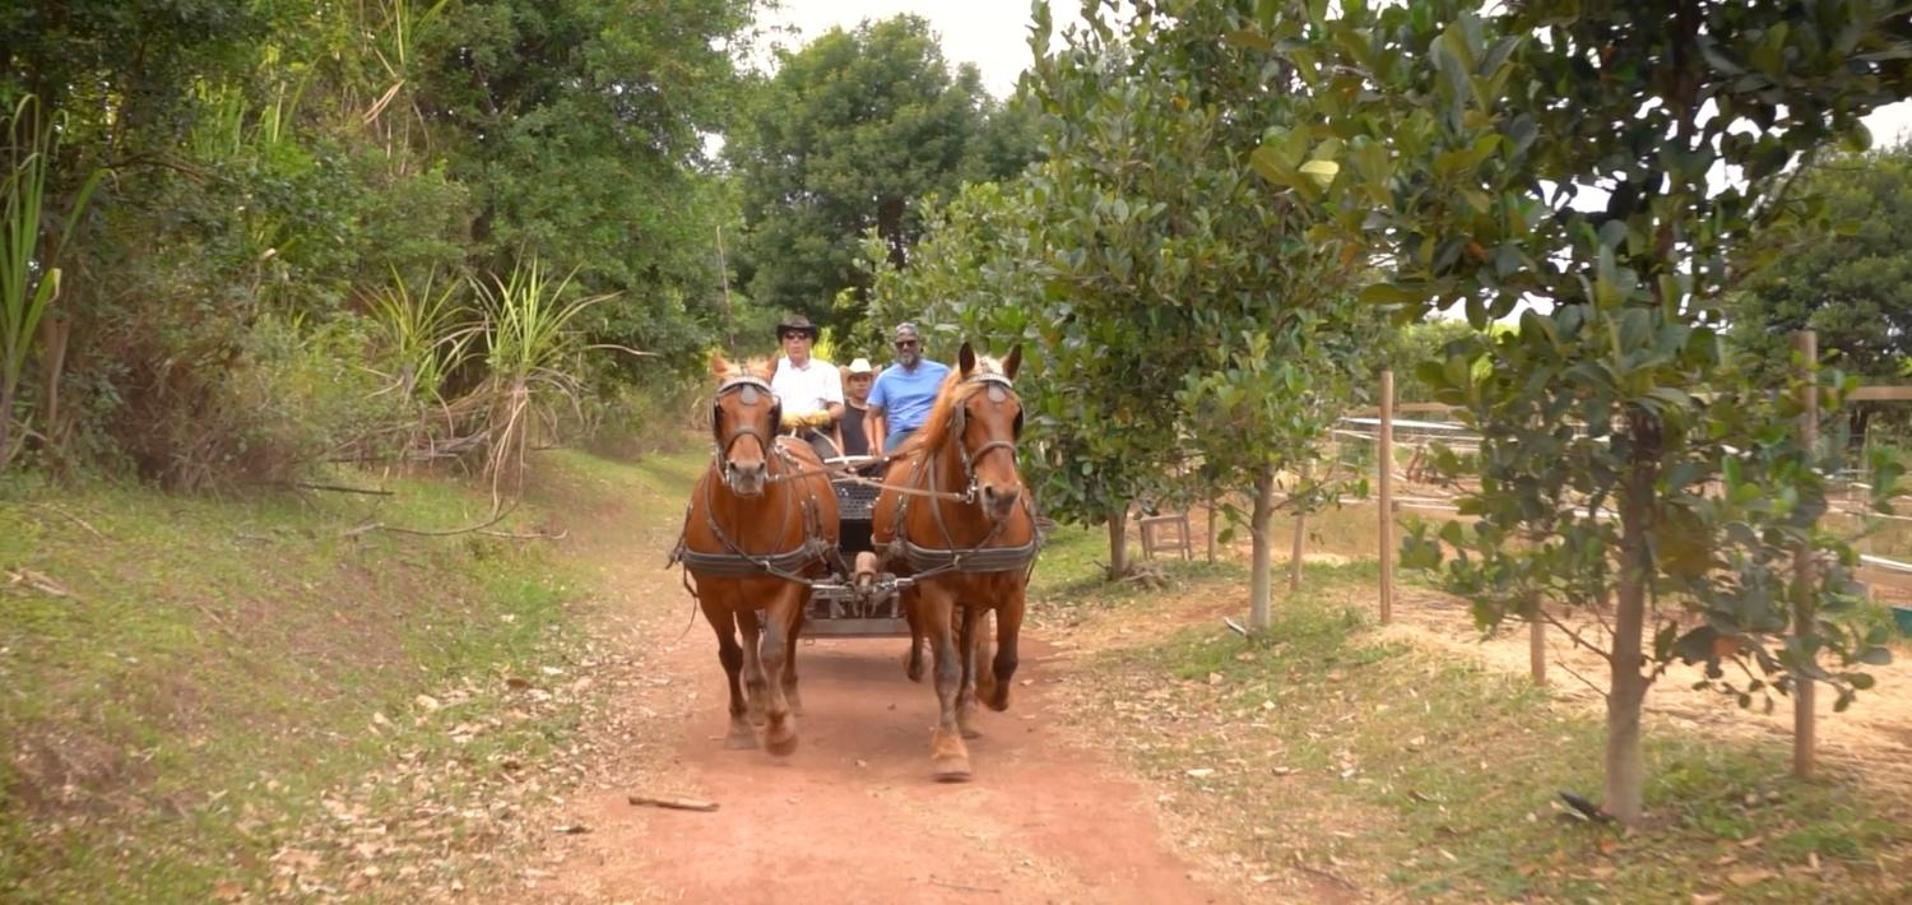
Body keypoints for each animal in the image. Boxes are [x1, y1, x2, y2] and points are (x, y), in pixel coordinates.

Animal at [680, 355, 845, 750]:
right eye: (719, 409)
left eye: (772, 409)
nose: (747, 472)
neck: (743, 515)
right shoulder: (711, 594)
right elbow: (732, 654)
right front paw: (741, 723)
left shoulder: (786, 584)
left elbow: (774, 648)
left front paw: (779, 725)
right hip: (740, 590)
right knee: (749, 632)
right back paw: (755, 699)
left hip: (806, 581)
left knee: (790, 635)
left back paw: (788, 693)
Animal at [875, 342, 1040, 780]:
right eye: (969, 413)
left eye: (1016, 414)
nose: (1001, 495)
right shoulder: (935, 590)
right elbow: (946, 669)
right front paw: (949, 749)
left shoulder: (1012, 589)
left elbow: (1005, 660)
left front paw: (987, 694)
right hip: (913, 581)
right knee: (924, 630)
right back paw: (918, 666)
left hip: (976, 595)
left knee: (969, 641)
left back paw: (969, 705)